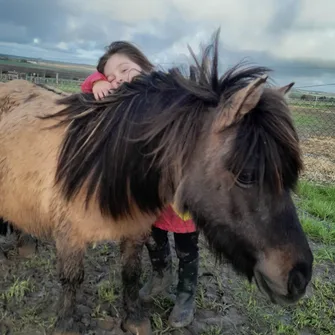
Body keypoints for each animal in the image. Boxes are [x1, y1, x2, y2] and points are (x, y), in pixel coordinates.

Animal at [0, 29, 314, 335]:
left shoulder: (135, 231)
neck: (97, 165)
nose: (299, 277)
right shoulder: (70, 237)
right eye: (247, 175)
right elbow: (71, 279)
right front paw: (66, 325)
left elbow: (131, 274)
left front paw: (134, 319)